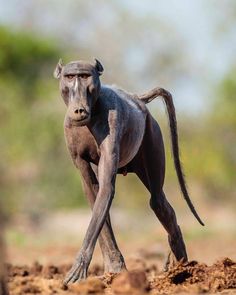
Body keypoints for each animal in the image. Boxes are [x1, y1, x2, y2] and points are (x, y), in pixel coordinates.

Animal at [53, 59, 203, 284]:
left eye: (85, 76)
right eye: (70, 77)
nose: (78, 110)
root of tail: (136, 98)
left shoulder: (111, 122)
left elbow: (106, 188)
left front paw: (81, 266)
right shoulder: (72, 140)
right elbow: (94, 191)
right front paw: (113, 268)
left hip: (151, 134)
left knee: (158, 202)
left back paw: (183, 267)